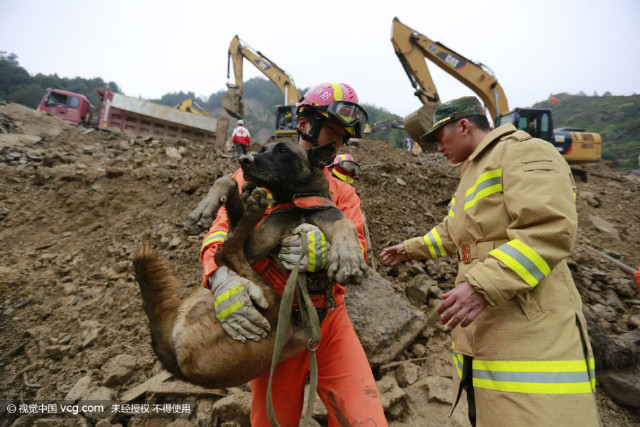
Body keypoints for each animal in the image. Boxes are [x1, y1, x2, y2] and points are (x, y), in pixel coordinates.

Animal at [132, 140, 368, 388]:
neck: (296, 200)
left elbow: (346, 225)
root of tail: (177, 364)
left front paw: (349, 257)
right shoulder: (253, 245)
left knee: (226, 253)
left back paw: (256, 207)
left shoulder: (328, 216)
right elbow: (228, 180)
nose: (244, 160)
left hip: (273, 307)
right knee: (225, 252)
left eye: (283, 150)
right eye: (262, 149)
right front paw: (205, 206)